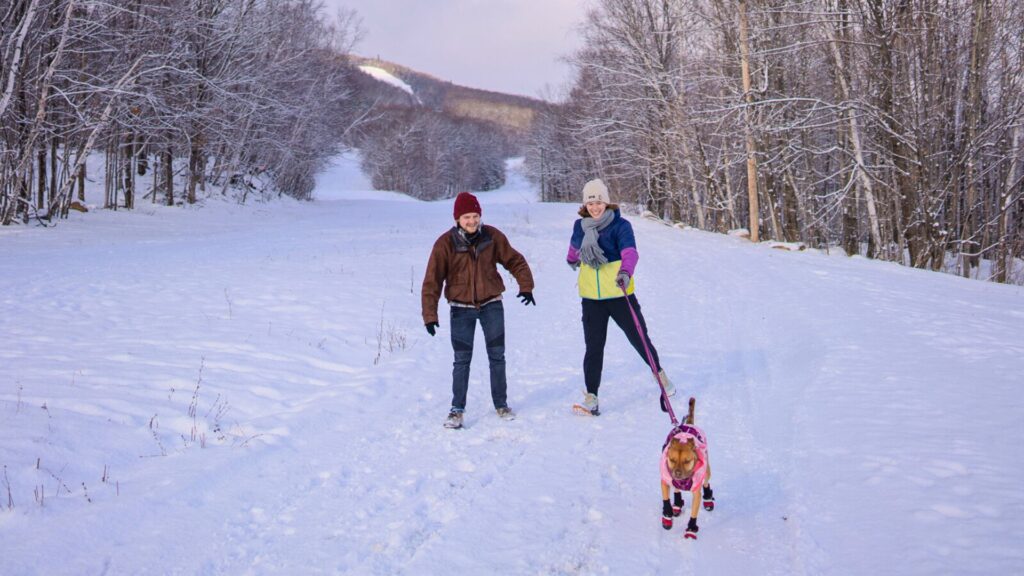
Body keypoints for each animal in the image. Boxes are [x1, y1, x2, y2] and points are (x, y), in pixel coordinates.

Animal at [659, 397, 716, 537]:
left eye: (687, 461)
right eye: (672, 460)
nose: (677, 473)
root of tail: (689, 424)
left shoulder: (696, 493)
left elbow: (694, 513)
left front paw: (691, 529)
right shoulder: (665, 480)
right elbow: (666, 499)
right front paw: (667, 515)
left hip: (707, 471)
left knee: (706, 482)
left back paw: (708, 499)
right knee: (676, 489)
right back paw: (677, 504)